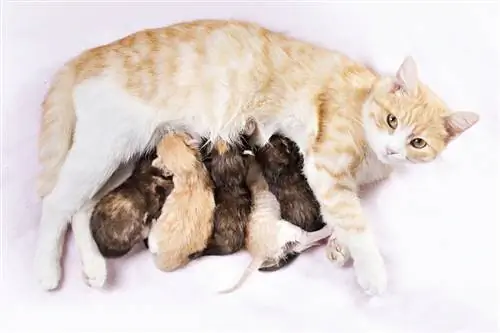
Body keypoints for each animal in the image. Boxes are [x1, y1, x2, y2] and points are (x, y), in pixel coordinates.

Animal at [220, 151, 332, 294]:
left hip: (285, 244)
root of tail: (259, 255)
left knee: (299, 246)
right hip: (289, 230)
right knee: (306, 238)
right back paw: (326, 230)